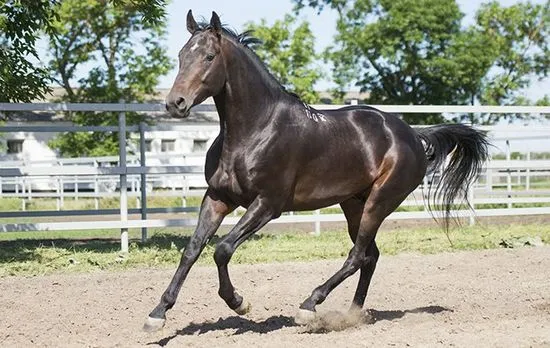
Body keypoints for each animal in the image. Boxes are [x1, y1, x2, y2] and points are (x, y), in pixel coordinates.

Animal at [143, 10, 492, 332]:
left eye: (209, 56)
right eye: (181, 56)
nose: (175, 103)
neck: (254, 130)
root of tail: (413, 135)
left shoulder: (268, 204)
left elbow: (223, 249)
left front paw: (239, 302)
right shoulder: (217, 198)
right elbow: (192, 250)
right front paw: (157, 314)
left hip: (380, 202)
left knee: (357, 255)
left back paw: (309, 306)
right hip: (354, 204)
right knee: (370, 255)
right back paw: (353, 315)